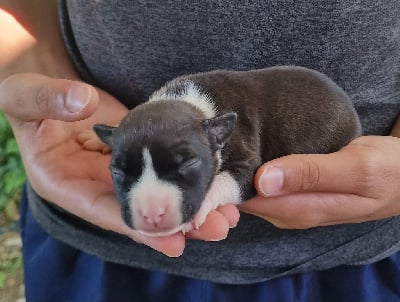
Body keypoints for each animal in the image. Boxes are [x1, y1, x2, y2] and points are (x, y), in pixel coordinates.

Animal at [79, 65, 362, 236]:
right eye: (117, 172)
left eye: (188, 164)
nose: (151, 214)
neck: (187, 101)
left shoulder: (249, 164)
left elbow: (228, 179)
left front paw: (202, 208)